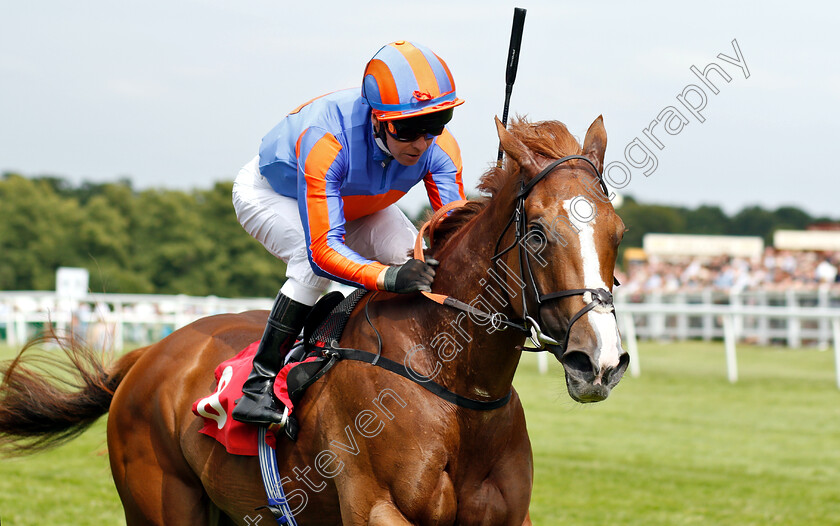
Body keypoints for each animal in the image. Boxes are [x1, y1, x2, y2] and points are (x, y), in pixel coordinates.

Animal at [0, 117, 628, 524]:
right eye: (537, 234)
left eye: (617, 233)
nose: (599, 361)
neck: (453, 383)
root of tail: (149, 355)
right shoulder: (379, 510)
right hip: (160, 503)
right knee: (305, 262)